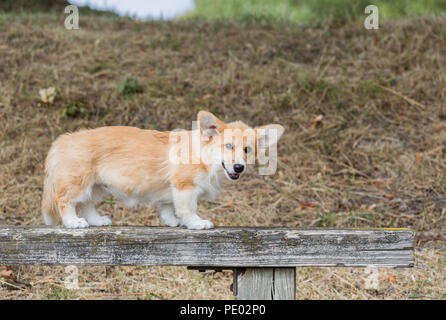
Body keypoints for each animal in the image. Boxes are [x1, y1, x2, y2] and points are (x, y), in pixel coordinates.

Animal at [42, 111, 286, 229]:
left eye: (247, 149)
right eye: (228, 146)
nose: (239, 167)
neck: (204, 155)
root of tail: (61, 141)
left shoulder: (170, 191)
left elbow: (168, 208)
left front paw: (171, 222)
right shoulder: (185, 187)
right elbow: (188, 209)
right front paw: (196, 223)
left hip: (95, 186)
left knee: (86, 205)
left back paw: (96, 220)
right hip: (77, 183)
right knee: (65, 201)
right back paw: (73, 222)